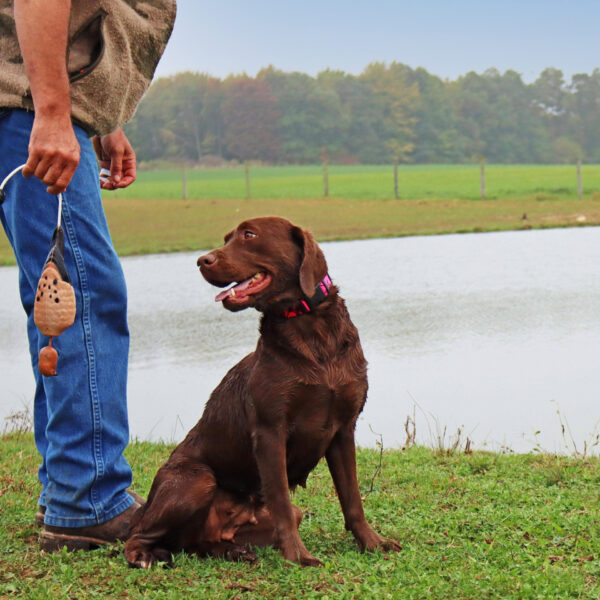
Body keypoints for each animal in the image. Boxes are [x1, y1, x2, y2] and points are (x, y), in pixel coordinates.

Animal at [124, 216, 400, 568]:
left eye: (249, 234)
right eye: (227, 238)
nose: (201, 260)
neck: (309, 329)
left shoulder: (343, 429)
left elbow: (352, 498)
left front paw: (372, 542)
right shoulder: (270, 431)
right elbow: (280, 500)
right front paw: (298, 556)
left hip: (252, 519)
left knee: (197, 544)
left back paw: (234, 551)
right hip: (196, 480)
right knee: (138, 535)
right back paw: (144, 555)